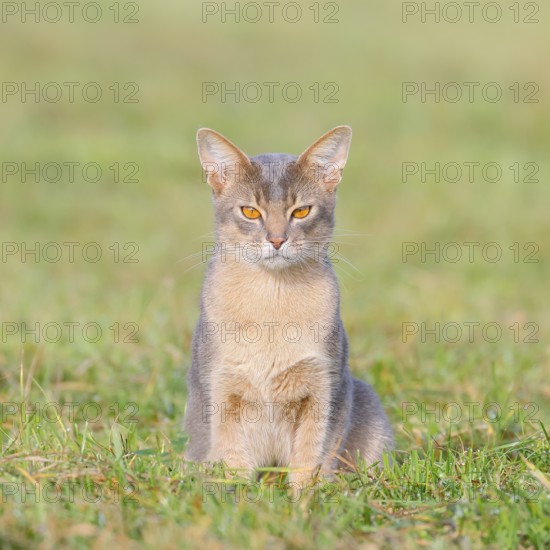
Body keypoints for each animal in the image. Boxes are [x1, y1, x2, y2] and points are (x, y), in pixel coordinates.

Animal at [184, 126, 392, 488]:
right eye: (251, 212)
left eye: (301, 211)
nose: (277, 240)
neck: (272, 305)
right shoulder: (221, 391)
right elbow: (233, 460)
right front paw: (235, 495)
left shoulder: (326, 389)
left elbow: (311, 460)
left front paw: (305, 499)